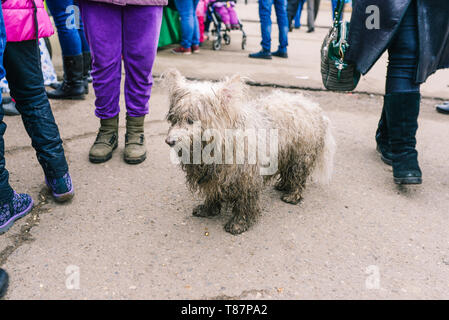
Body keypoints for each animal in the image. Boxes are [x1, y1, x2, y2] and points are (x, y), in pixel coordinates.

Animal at [163, 70, 334, 235]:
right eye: (174, 119)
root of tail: (314, 107)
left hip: (300, 154)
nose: (169, 141)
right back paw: (283, 185)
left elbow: (244, 202)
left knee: (298, 174)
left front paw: (239, 223)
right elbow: (212, 191)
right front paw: (208, 208)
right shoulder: (212, 175)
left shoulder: (246, 177)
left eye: (191, 120)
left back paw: (293, 194)